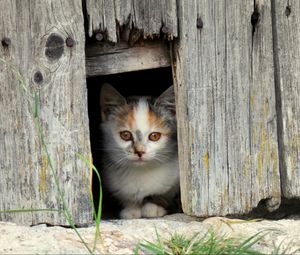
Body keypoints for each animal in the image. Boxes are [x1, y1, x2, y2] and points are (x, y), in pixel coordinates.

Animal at [99, 83, 179, 219]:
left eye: (154, 136)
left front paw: (153, 207)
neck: (141, 171)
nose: (140, 152)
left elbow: (167, 195)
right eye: (125, 135)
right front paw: (132, 209)